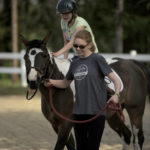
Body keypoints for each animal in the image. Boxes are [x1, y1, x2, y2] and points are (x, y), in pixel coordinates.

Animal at [20, 34, 148, 150]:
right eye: (25, 57)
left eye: (44, 56)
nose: (32, 81)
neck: (56, 90)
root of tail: (133, 64)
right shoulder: (55, 124)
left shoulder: (66, 124)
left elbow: (59, 146)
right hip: (113, 115)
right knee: (126, 134)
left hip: (136, 111)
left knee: (138, 138)